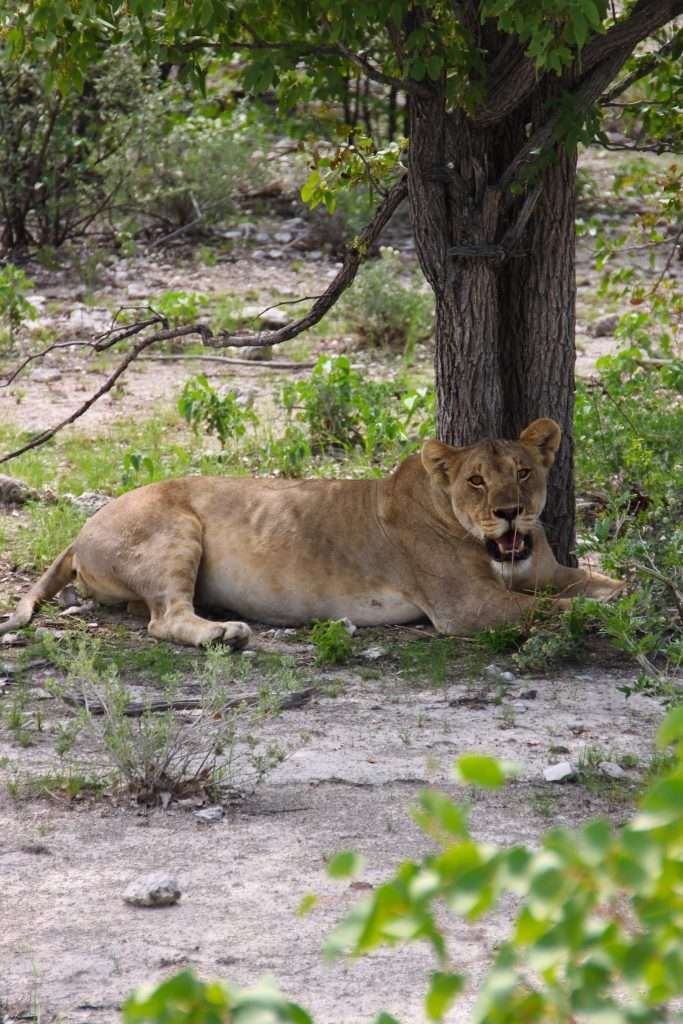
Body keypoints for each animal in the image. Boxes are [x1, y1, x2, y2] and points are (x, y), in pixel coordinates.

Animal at [0, 415, 622, 647]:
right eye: (475, 481)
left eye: (522, 472)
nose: (511, 511)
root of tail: (84, 526)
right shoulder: (466, 607)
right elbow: (552, 609)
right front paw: (609, 615)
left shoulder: (550, 570)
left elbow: (599, 583)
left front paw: (630, 596)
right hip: (175, 530)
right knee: (164, 619)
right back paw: (224, 634)